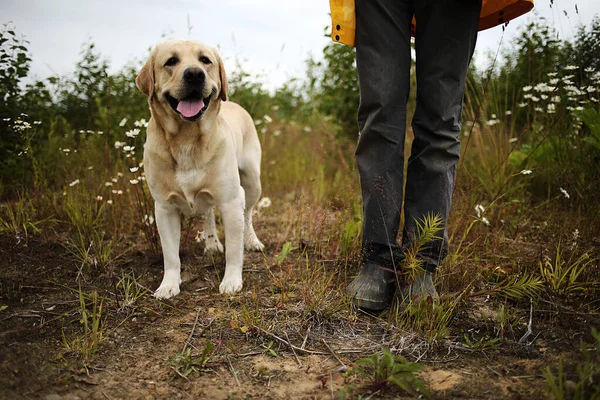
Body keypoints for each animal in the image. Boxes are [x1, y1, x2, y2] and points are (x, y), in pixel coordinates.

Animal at [138, 40, 264, 298]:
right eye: (171, 61)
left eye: (205, 60)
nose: (195, 74)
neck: (187, 139)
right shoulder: (164, 208)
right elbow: (170, 254)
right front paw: (168, 284)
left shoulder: (230, 201)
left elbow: (234, 249)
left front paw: (232, 280)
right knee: (207, 213)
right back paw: (212, 242)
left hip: (252, 182)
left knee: (248, 213)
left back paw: (252, 240)